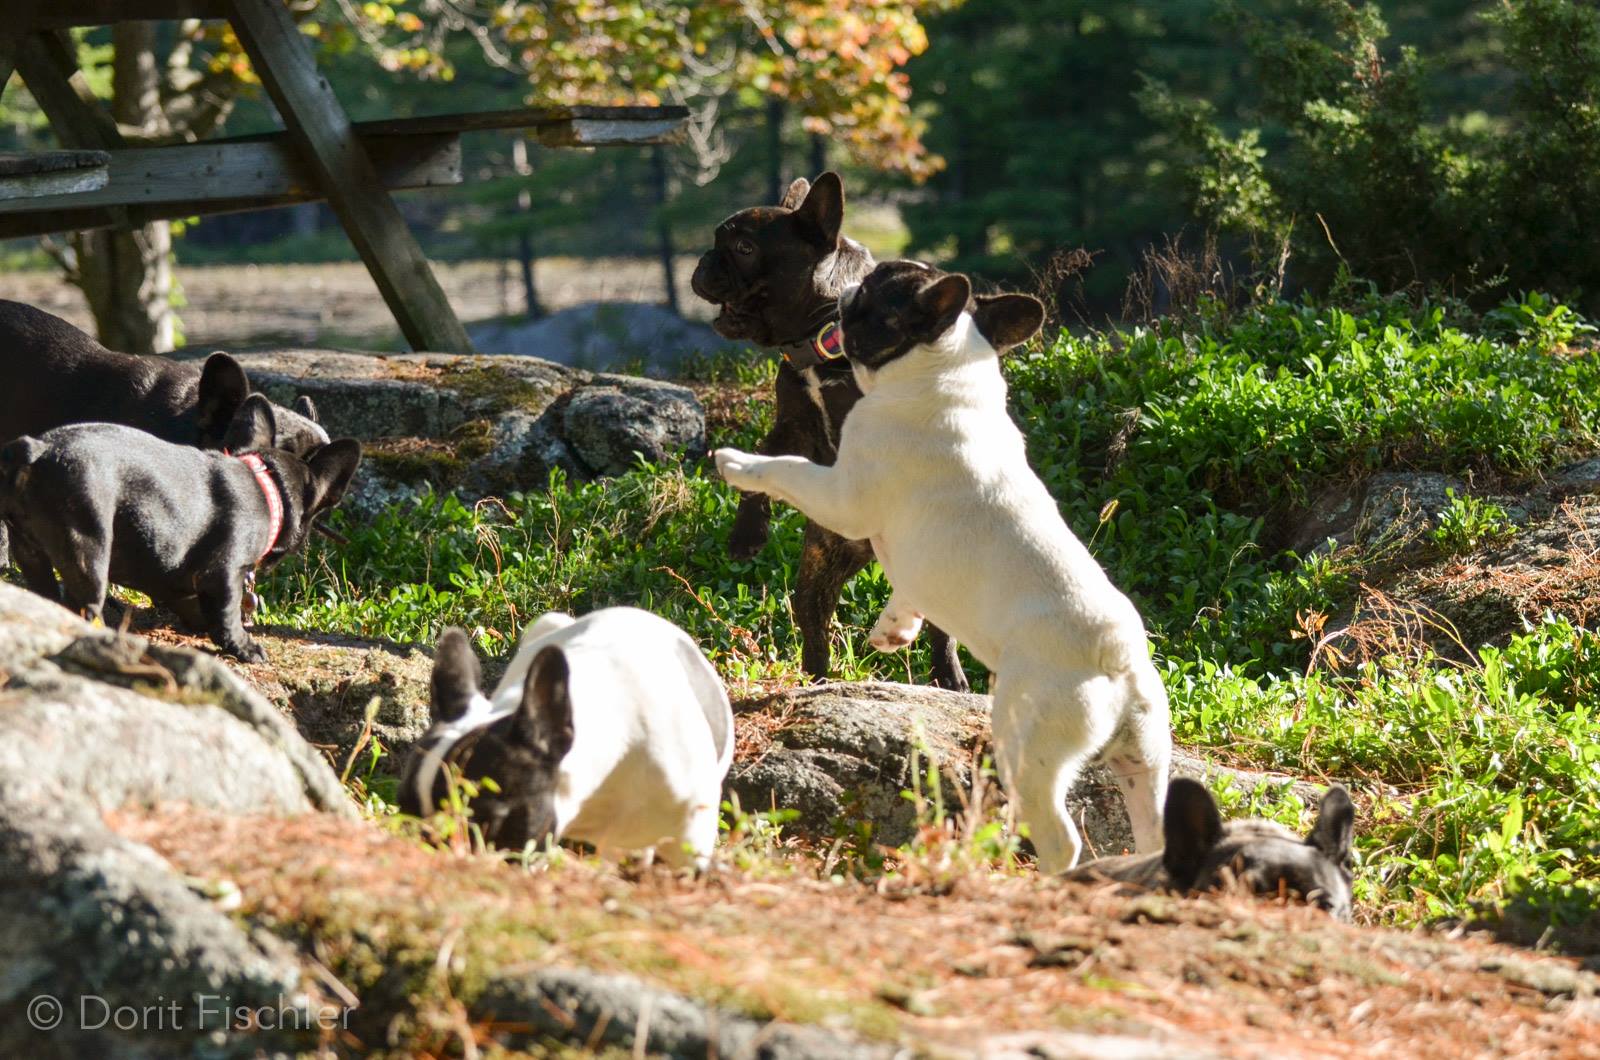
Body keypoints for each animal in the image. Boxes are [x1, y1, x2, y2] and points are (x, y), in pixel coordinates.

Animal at [0, 398, 361, 666]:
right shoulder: (225, 571)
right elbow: (228, 613)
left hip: (29, 549)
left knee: (45, 592)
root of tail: (38, 449)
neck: (267, 484)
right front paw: (245, 647)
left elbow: (187, 598)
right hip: (88, 547)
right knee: (84, 602)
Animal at [688, 170, 960, 694]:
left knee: (943, 627)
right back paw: (817, 683)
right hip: (821, 562)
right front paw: (746, 535)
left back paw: (949, 678)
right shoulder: (792, 427)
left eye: (745, 247)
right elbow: (759, 469)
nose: (704, 260)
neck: (820, 337)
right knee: (814, 622)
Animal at [720, 260, 1171, 877]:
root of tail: (1118, 655)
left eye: (877, 290)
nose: (849, 286)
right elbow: (910, 592)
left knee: (1059, 836)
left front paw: (739, 463)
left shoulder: (842, 498)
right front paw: (895, 629)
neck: (947, 374)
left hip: (1030, 744)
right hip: (1145, 758)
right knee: (1153, 827)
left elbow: (787, 467)